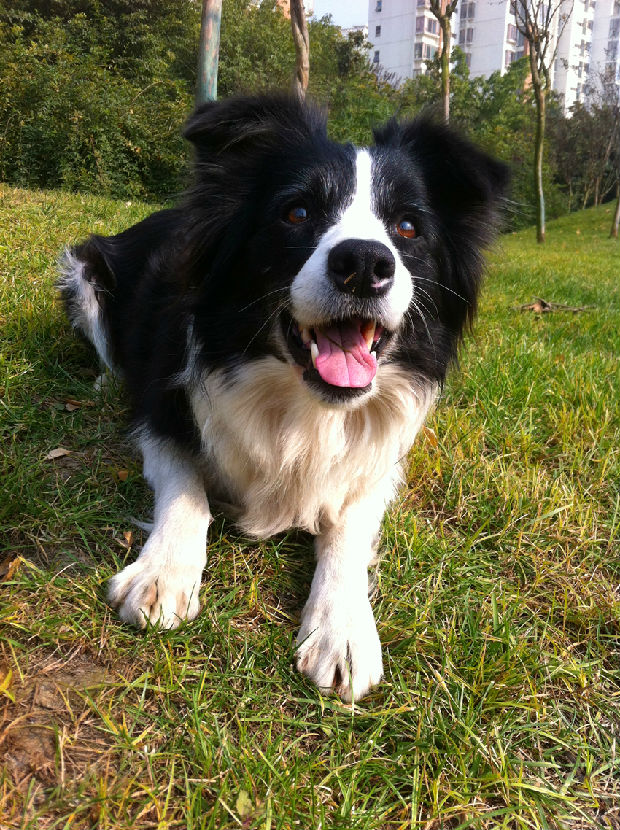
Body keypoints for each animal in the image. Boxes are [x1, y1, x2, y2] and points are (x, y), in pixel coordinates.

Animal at [59, 92, 508, 704]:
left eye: (407, 227)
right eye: (296, 213)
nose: (364, 264)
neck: (305, 407)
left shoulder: (377, 462)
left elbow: (347, 527)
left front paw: (344, 630)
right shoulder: (160, 412)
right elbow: (187, 488)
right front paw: (162, 574)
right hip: (87, 272)